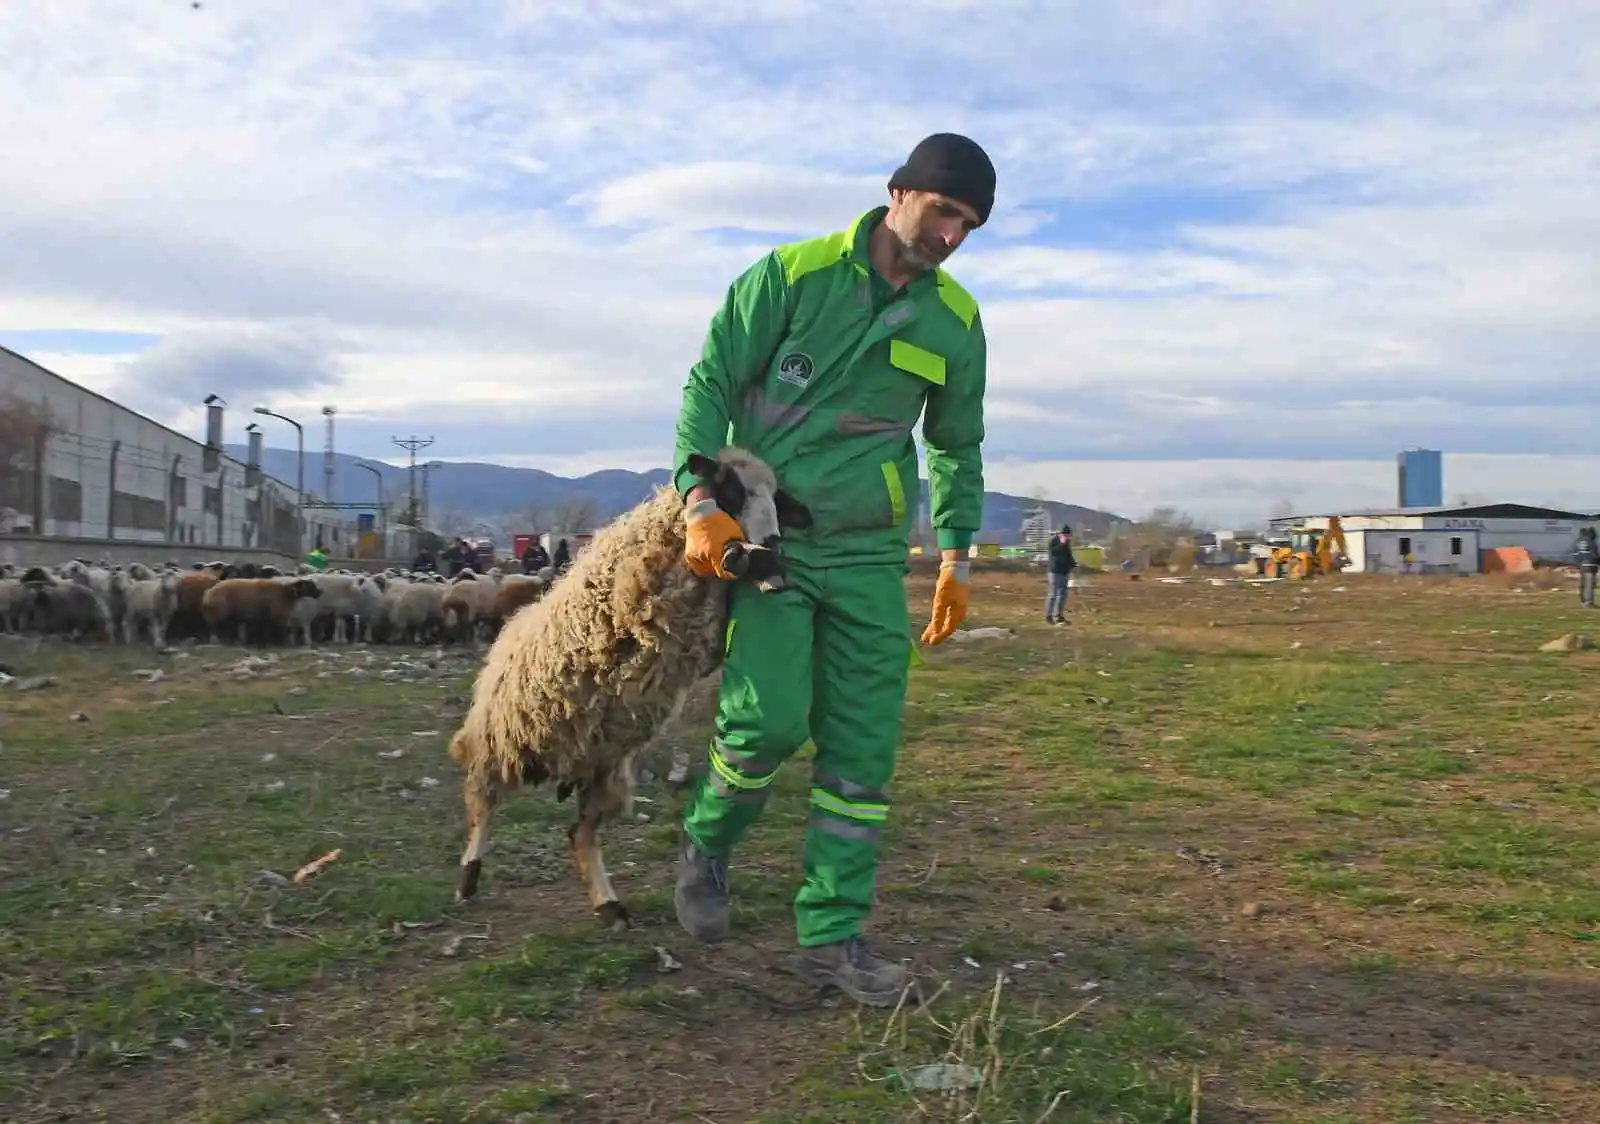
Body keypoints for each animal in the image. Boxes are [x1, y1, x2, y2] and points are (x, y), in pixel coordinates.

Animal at [448, 448, 812, 935]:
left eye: (776, 497)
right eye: (730, 489)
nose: (774, 546)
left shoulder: (702, 639)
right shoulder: (650, 607)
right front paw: (752, 561)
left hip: (604, 765)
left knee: (580, 834)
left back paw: (609, 905)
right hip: (504, 740)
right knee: (481, 801)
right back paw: (469, 874)